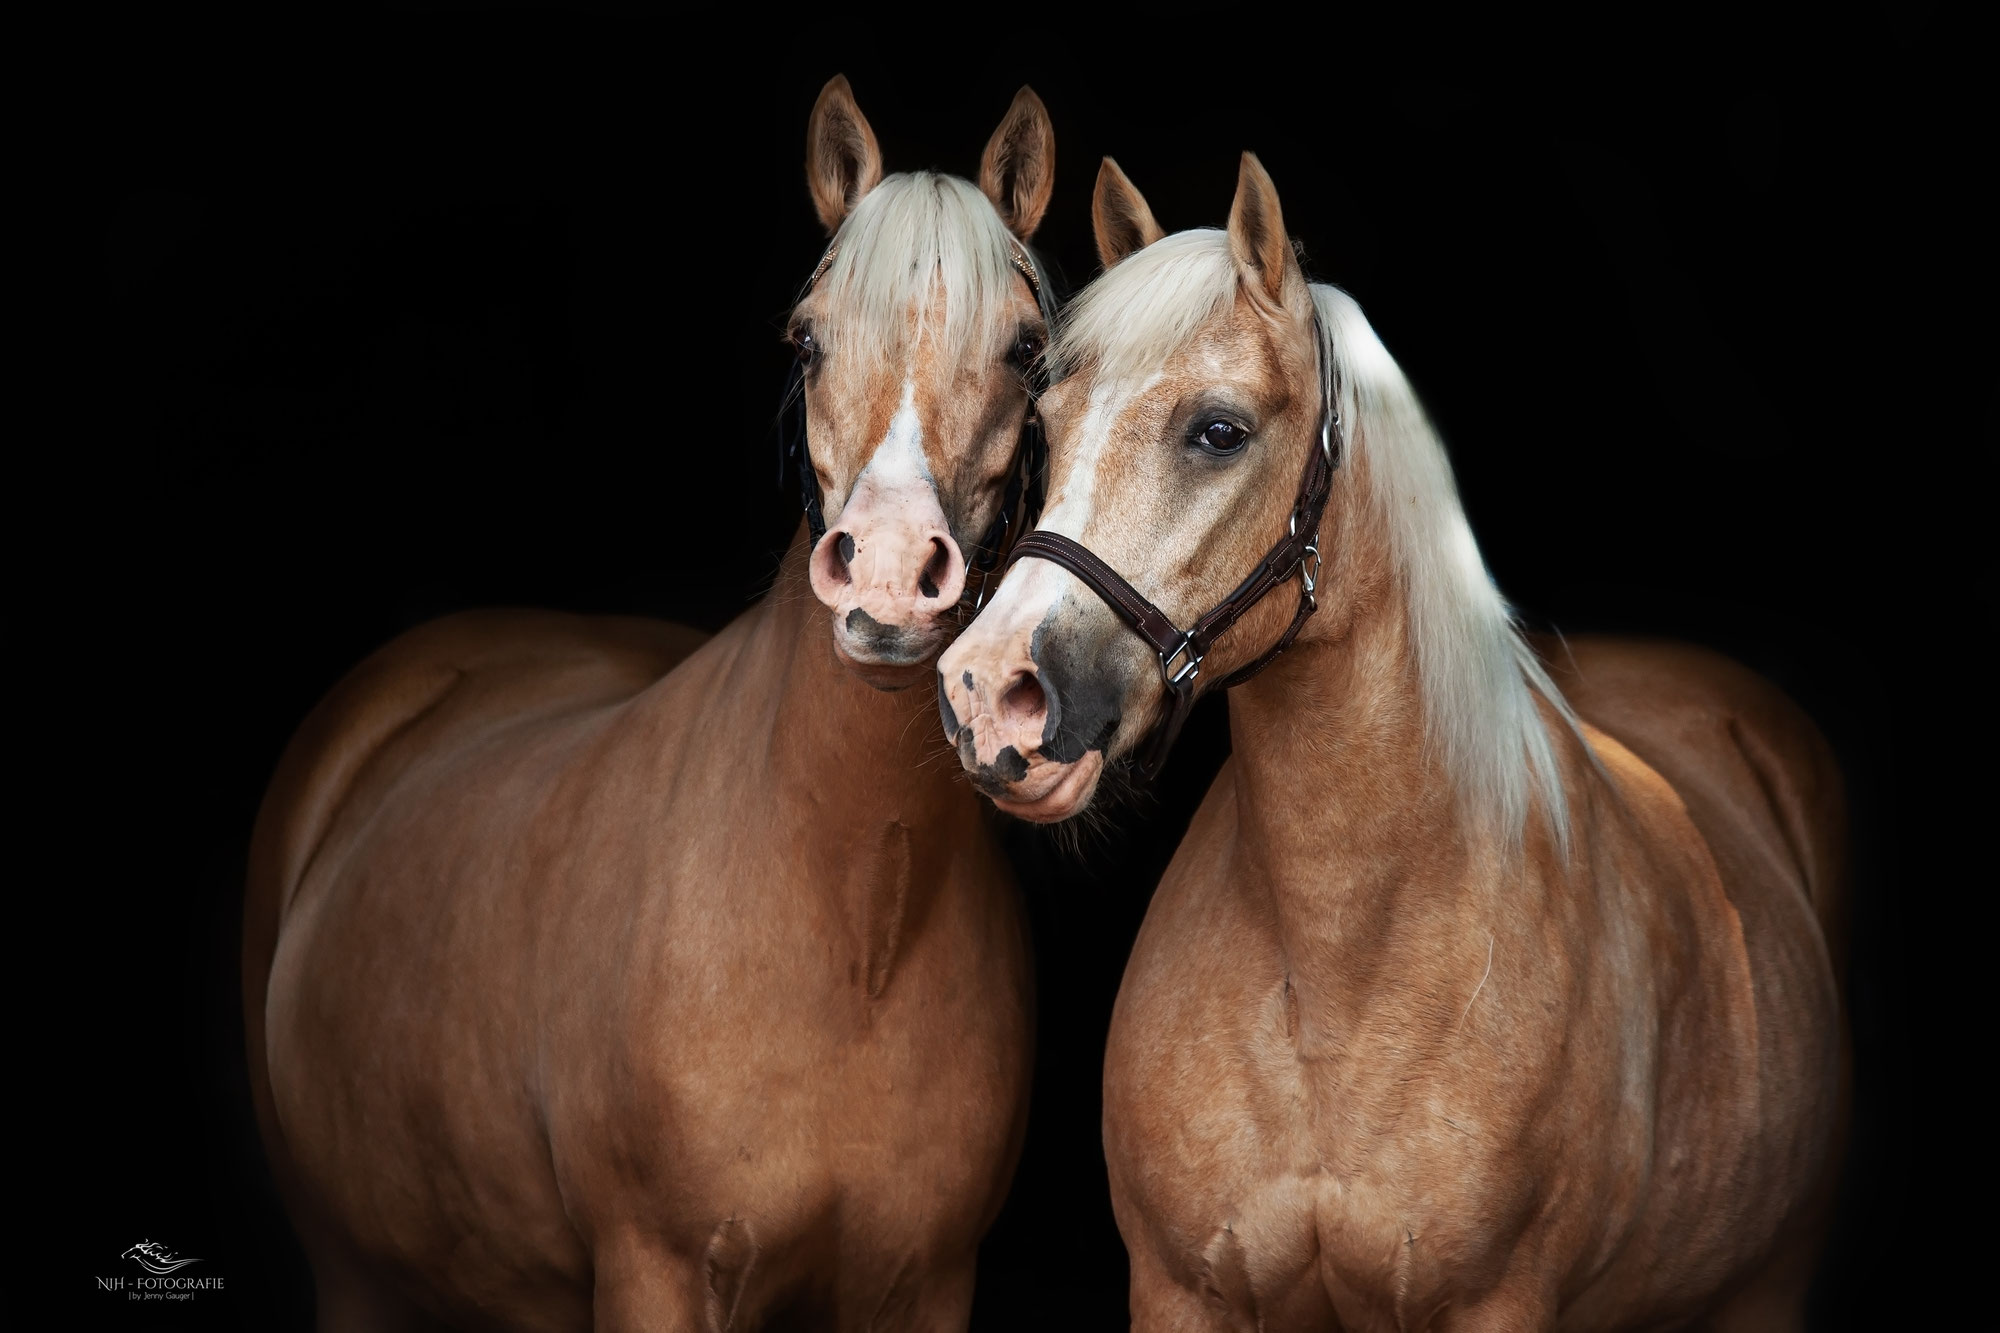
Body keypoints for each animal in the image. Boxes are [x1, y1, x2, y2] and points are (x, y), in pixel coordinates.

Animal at [246, 78, 1064, 1320]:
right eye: (807, 339)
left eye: (1025, 349)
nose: (883, 573)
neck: (852, 925)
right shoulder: (655, 1270)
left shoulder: (924, 1285)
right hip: (350, 1276)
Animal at [944, 153, 1848, 1320]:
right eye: (1047, 429)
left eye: (1219, 431)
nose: (988, 691)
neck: (1335, 975)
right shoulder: (1180, 1291)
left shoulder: (1497, 1303)